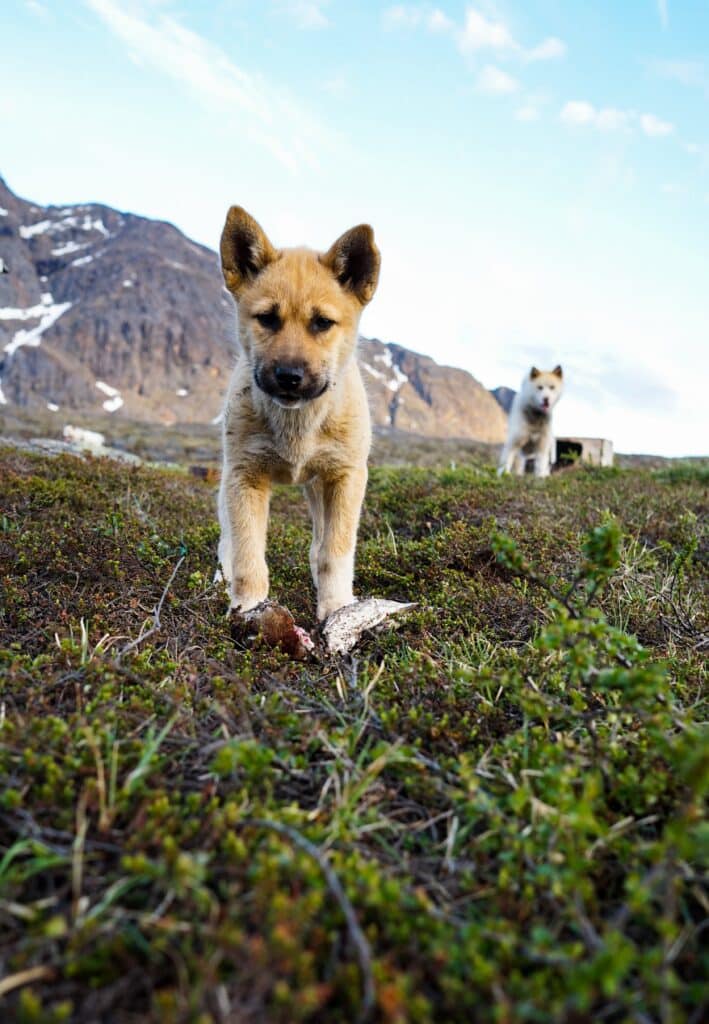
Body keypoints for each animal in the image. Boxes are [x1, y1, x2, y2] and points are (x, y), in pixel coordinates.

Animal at [217, 206, 379, 618]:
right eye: (267, 318)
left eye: (322, 322)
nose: (289, 377)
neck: (298, 426)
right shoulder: (244, 477)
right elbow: (247, 555)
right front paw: (248, 610)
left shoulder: (345, 478)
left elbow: (334, 553)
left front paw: (336, 609)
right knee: (227, 539)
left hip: (318, 486)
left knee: (319, 543)